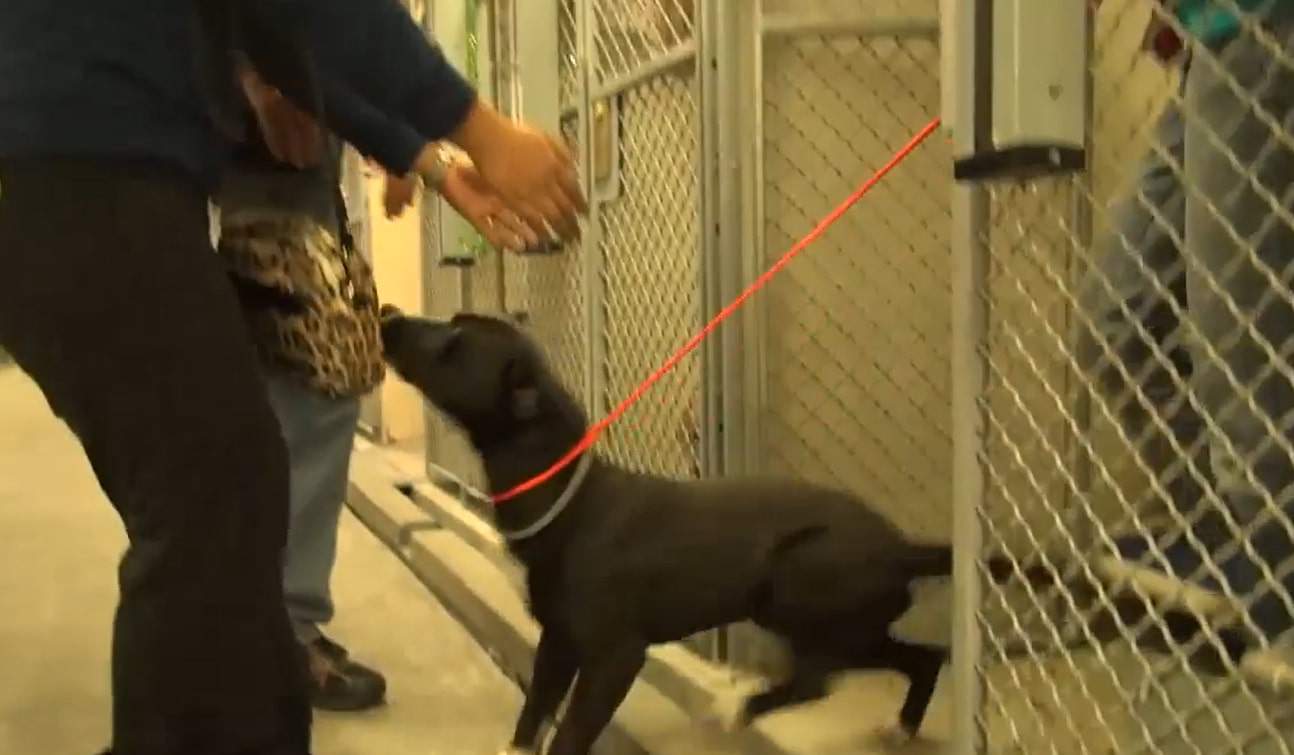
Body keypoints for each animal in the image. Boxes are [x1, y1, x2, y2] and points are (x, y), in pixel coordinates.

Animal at [377, 308, 1030, 755]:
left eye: (454, 343)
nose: (386, 315)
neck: (569, 498)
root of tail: (899, 546)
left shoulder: (615, 655)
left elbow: (570, 733)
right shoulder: (558, 643)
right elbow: (533, 714)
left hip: (794, 591)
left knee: (818, 679)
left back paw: (739, 706)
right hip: (849, 621)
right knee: (922, 658)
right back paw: (899, 725)